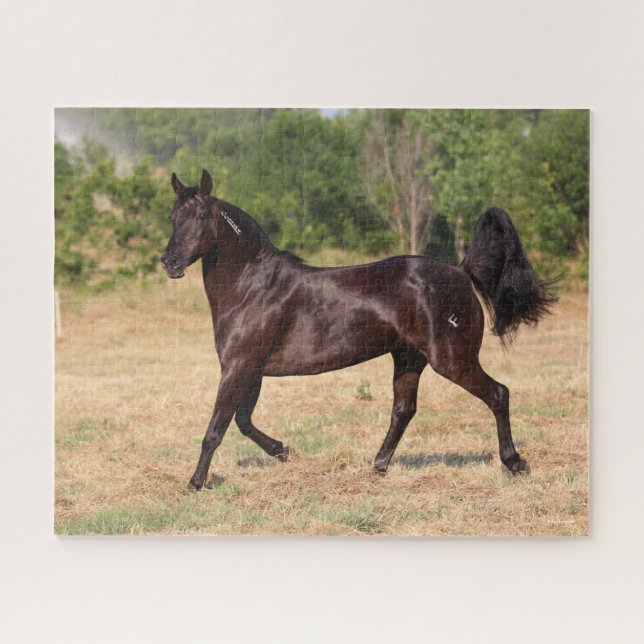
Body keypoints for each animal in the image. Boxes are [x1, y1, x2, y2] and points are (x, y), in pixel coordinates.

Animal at [161, 170, 557, 490]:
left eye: (200, 215)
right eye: (172, 217)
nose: (170, 262)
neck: (252, 287)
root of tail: (461, 272)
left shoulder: (238, 367)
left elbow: (216, 429)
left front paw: (195, 483)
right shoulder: (250, 370)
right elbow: (243, 421)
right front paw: (283, 450)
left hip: (452, 360)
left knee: (498, 394)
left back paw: (515, 463)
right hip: (409, 359)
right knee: (404, 410)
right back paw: (377, 466)